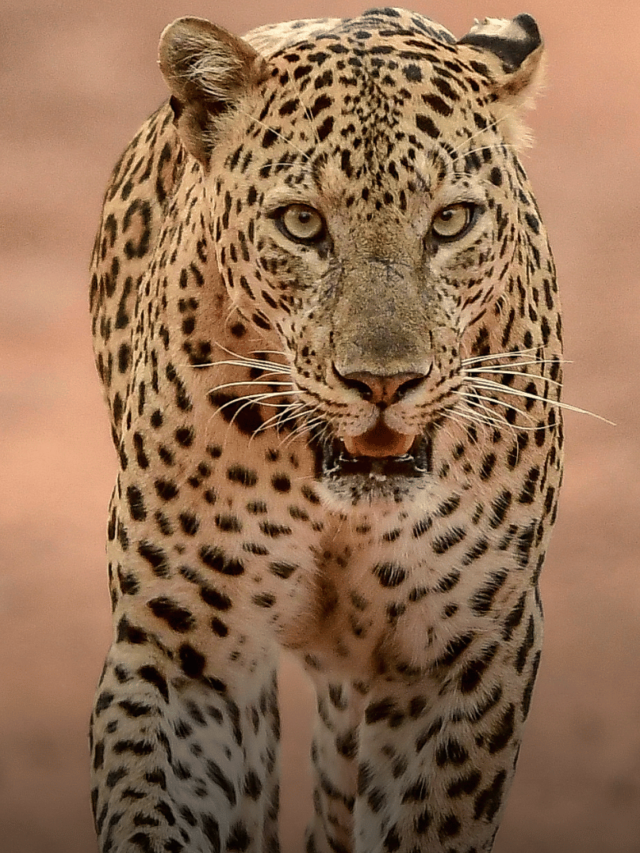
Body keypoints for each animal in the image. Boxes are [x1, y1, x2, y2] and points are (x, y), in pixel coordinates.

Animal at [87, 8, 564, 852]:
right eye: (302, 223)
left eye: (451, 220)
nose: (384, 382)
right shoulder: (186, 654)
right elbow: (153, 805)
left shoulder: (465, 655)